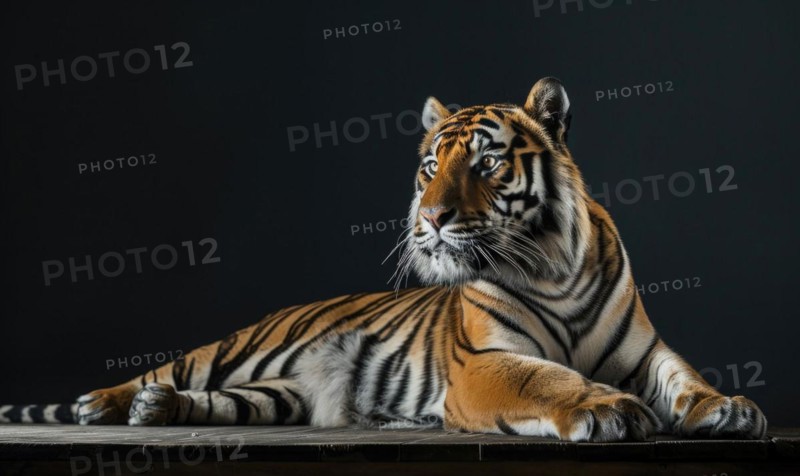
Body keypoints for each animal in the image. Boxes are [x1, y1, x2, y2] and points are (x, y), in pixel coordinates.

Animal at [0, 77, 766, 441]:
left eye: (487, 163)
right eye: (430, 167)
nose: (430, 218)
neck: (552, 266)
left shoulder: (646, 351)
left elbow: (683, 376)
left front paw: (727, 408)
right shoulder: (484, 363)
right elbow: (547, 378)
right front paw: (604, 407)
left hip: (277, 394)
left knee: (221, 400)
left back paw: (158, 411)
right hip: (233, 348)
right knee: (164, 368)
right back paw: (106, 404)